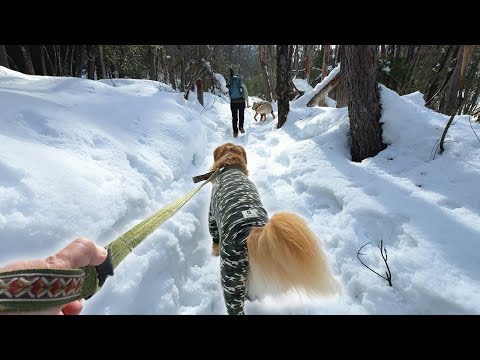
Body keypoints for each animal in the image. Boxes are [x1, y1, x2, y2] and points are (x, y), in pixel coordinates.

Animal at [206, 143, 338, 316]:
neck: (229, 166)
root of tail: (250, 233)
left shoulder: (211, 216)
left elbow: (213, 236)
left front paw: (214, 251)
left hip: (231, 276)